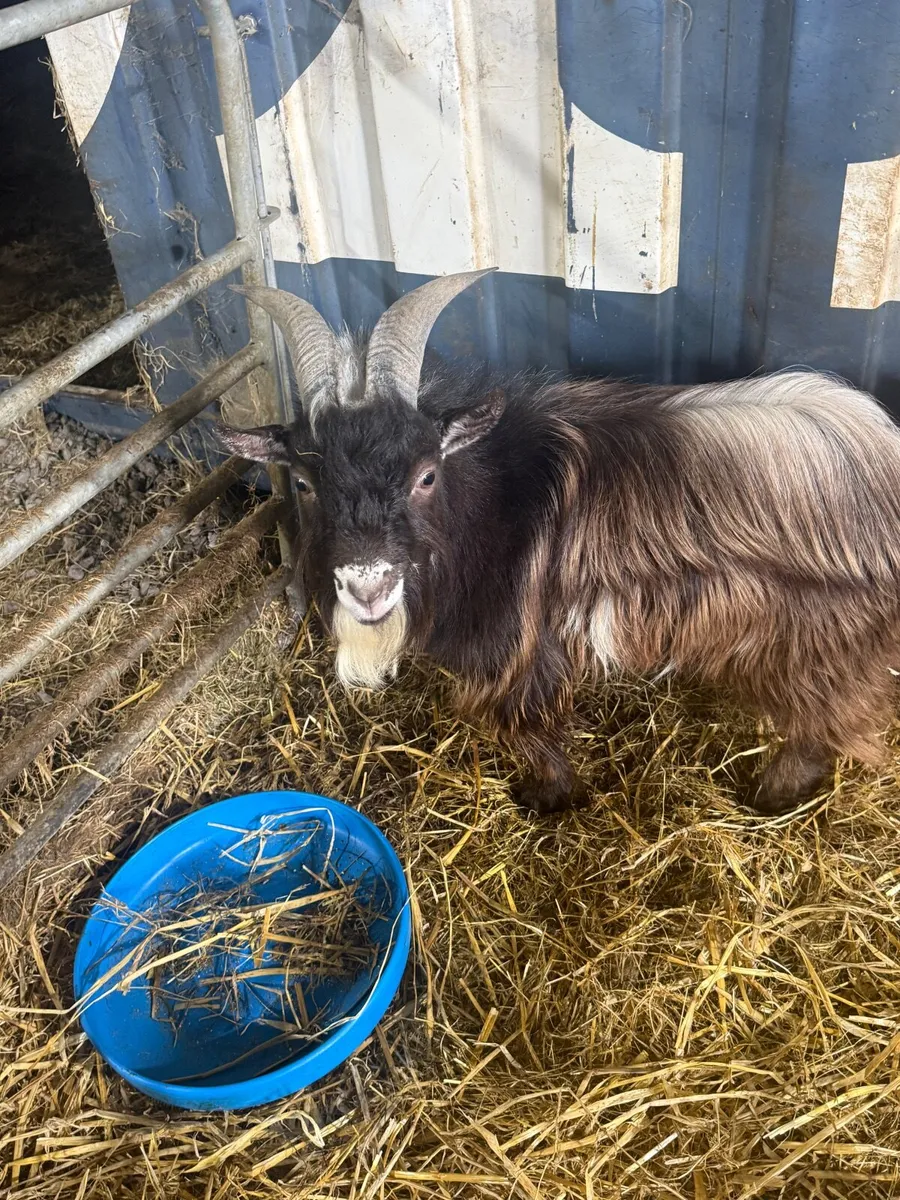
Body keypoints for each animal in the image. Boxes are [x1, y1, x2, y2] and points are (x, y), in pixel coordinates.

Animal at [218, 269, 900, 816]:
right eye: (303, 482)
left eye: (427, 474)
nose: (368, 588)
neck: (489, 506)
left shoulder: (521, 651)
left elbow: (529, 728)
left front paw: (545, 798)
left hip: (819, 648)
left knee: (822, 723)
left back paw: (771, 794)